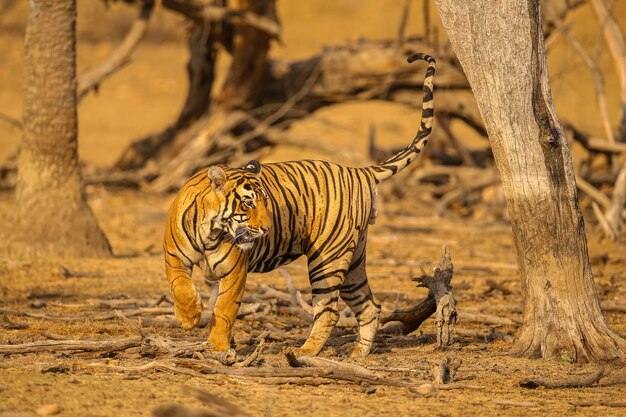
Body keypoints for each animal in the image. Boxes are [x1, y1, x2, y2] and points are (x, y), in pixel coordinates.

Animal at [165, 52, 434, 358]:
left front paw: (216, 347)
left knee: (330, 310)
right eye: (248, 204)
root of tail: (360, 171)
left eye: (266, 203)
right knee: (369, 306)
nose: (267, 230)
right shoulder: (174, 256)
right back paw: (358, 354)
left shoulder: (234, 271)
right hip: (354, 262)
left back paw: (305, 351)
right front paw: (189, 318)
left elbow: (224, 309)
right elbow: (179, 285)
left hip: (327, 258)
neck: (211, 230)